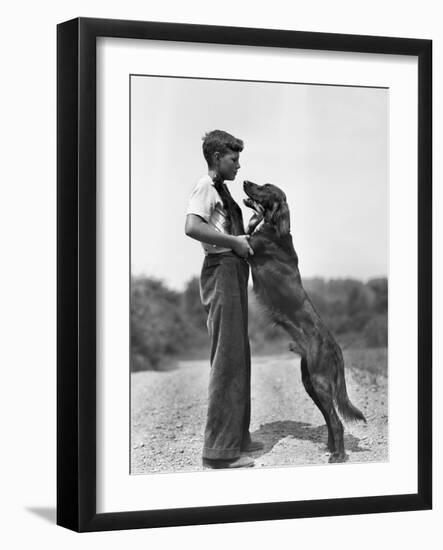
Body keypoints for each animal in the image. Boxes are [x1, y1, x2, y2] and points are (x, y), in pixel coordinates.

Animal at [243, 181, 368, 466]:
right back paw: (330, 449)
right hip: (310, 382)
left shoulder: (247, 247)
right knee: (329, 419)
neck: (274, 229)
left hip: (320, 382)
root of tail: (336, 348)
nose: (244, 182)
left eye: (265, 187)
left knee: (336, 421)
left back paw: (338, 456)